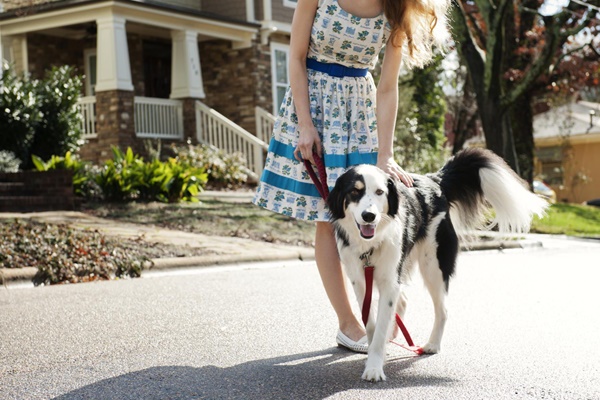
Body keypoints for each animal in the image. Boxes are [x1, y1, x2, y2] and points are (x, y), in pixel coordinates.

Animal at [328, 147, 548, 382]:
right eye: (354, 191)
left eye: (379, 192)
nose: (369, 216)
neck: (370, 244)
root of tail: (434, 180)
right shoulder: (360, 281)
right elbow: (371, 324)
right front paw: (375, 353)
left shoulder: (389, 279)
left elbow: (380, 324)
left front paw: (375, 367)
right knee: (403, 301)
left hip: (433, 266)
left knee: (443, 309)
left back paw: (432, 344)